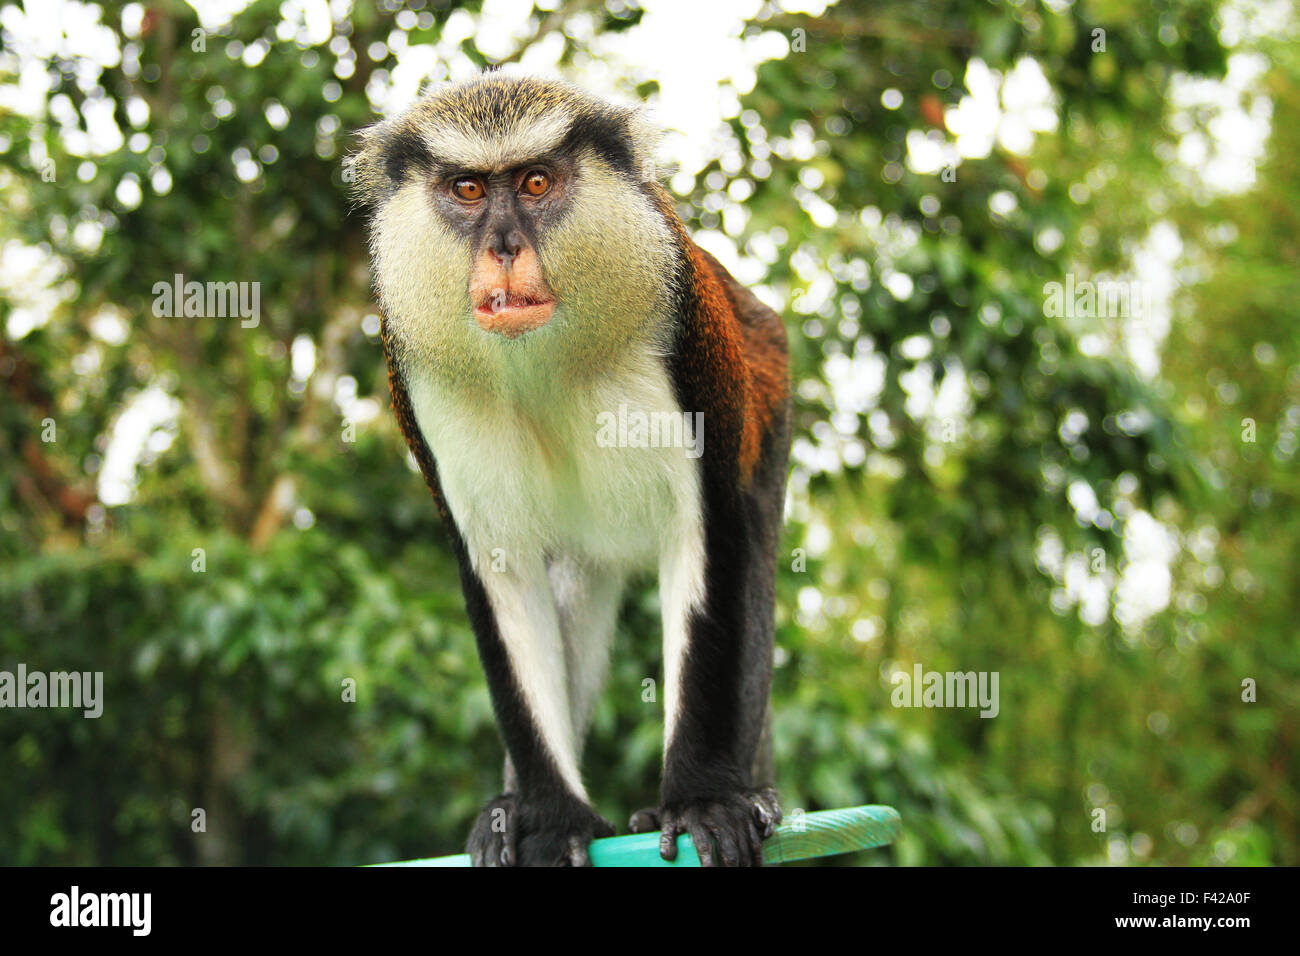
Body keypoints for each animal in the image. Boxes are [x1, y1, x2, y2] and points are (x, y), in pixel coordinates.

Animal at [348, 74, 790, 868]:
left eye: (535, 182)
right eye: (466, 188)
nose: (503, 247)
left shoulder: (685, 343)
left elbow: (705, 540)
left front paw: (702, 800)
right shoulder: (419, 387)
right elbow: (503, 581)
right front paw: (551, 817)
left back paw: (756, 794)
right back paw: (508, 808)